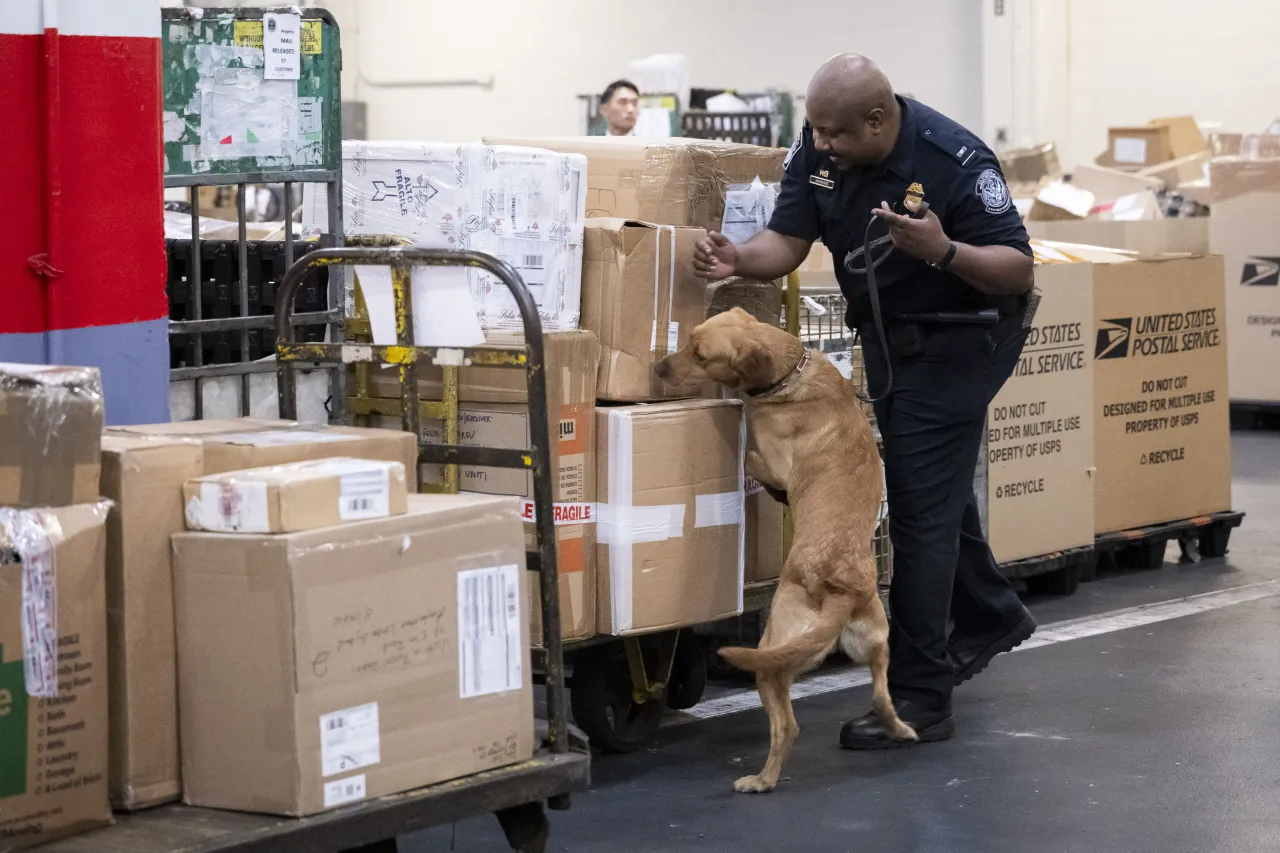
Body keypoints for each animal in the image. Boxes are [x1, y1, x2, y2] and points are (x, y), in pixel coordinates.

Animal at [655, 307, 916, 788]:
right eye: (690, 341)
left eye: (700, 355)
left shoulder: (775, 467)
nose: (660, 368)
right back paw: (900, 729)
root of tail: (839, 590)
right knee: (882, 696)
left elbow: (749, 452)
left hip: (771, 656)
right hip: (875, 644)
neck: (791, 372)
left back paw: (762, 781)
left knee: (787, 727)